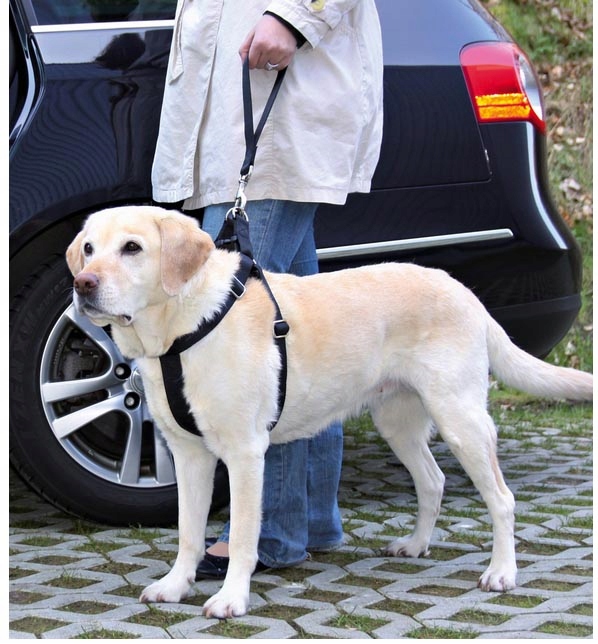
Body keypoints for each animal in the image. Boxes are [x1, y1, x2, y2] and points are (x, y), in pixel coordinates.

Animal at [66, 205, 593, 618]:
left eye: (132, 248)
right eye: (89, 248)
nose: (82, 284)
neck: (183, 328)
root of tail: (466, 293)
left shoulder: (245, 454)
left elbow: (243, 537)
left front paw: (232, 599)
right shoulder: (189, 454)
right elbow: (188, 533)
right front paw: (176, 586)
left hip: (459, 419)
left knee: (501, 498)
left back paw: (502, 572)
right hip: (398, 422)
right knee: (433, 481)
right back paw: (416, 545)